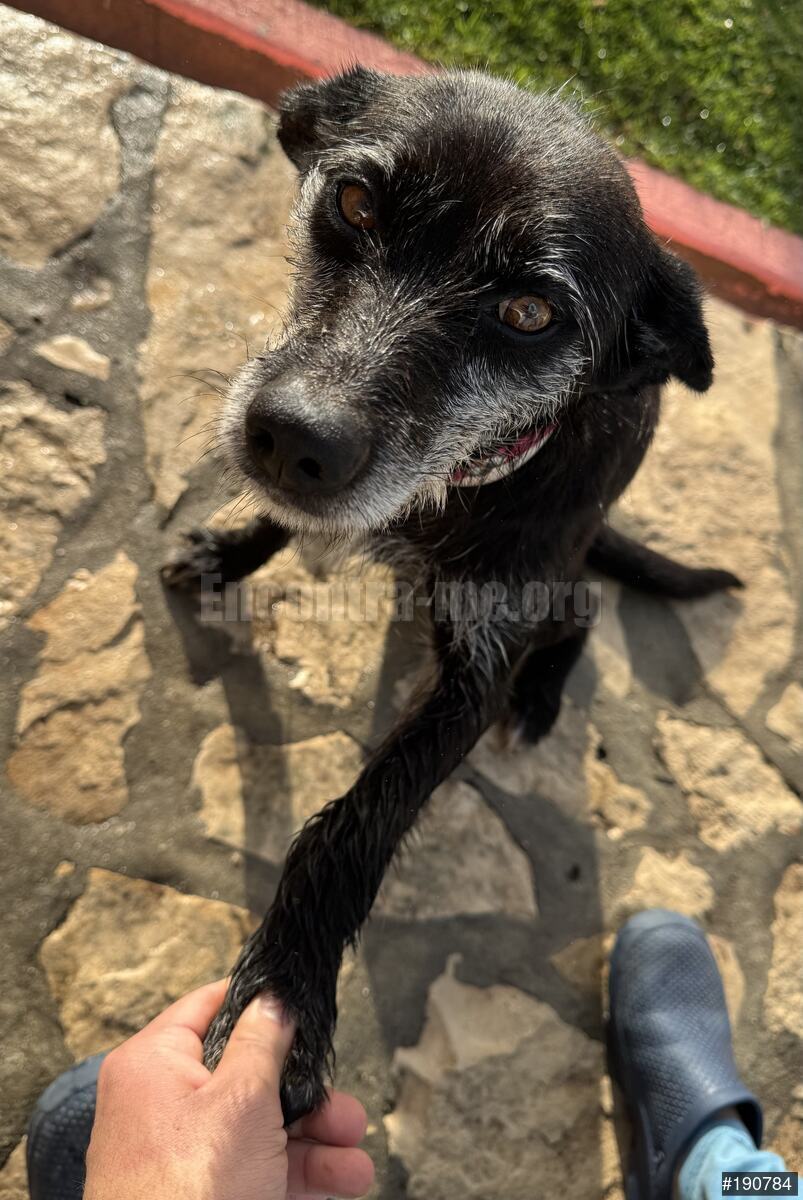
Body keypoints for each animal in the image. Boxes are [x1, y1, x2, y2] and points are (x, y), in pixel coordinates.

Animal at [163, 66, 741, 1124]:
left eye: (530, 313)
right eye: (354, 202)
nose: (294, 438)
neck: (461, 485)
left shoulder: (474, 673)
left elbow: (359, 819)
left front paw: (287, 987)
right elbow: (282, 523)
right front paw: (231, 550)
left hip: (561, 579)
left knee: (584, 613)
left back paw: (545, 696)